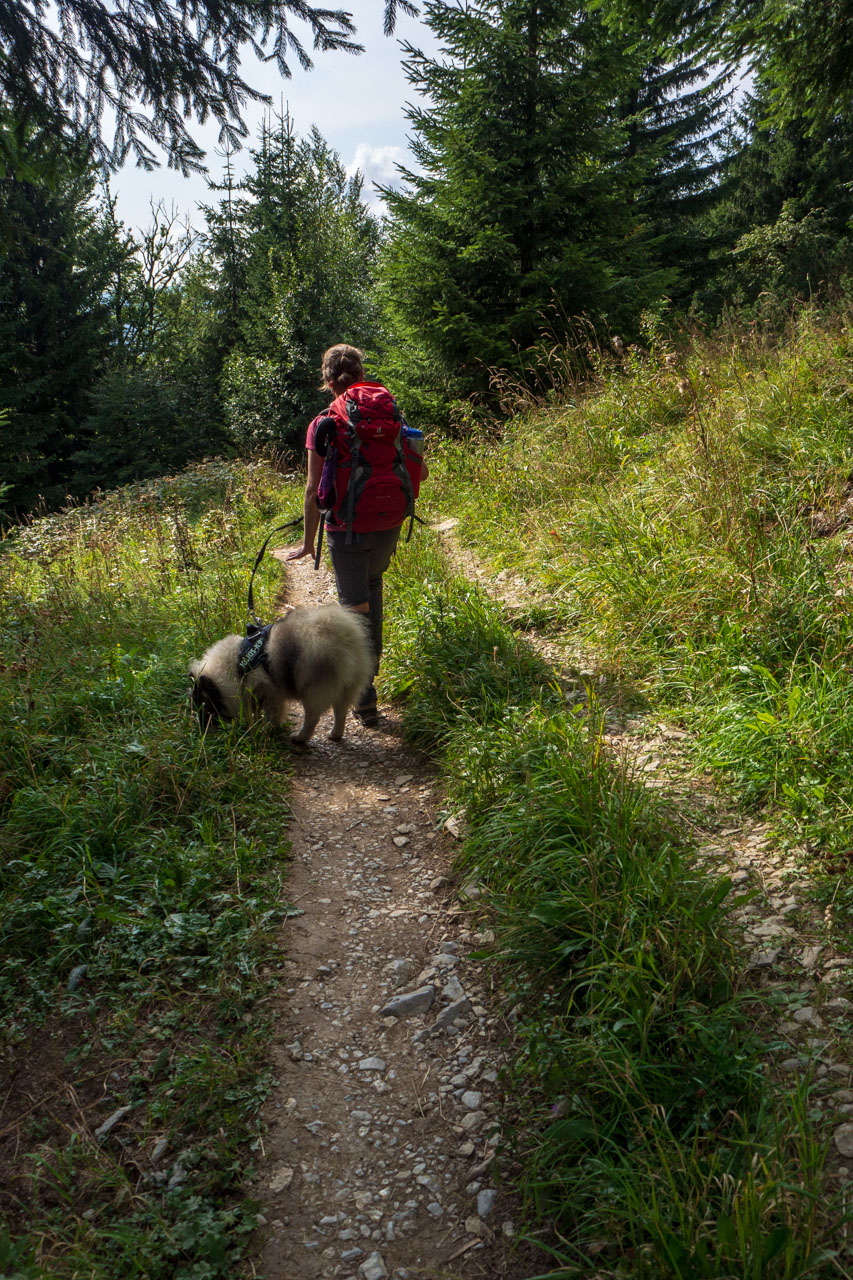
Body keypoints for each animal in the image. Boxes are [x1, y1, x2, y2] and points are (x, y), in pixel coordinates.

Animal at [189, 604, 371, 747]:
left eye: (206, 708)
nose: (202, 731)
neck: (237, 665)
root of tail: (344, 639)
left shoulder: (269, 692)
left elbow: (271, 714)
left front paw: (267, 730)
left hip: (313, 690)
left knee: (312, 718)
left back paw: (299, 738)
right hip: (348, 687)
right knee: (340, 713)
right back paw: (335, 734)